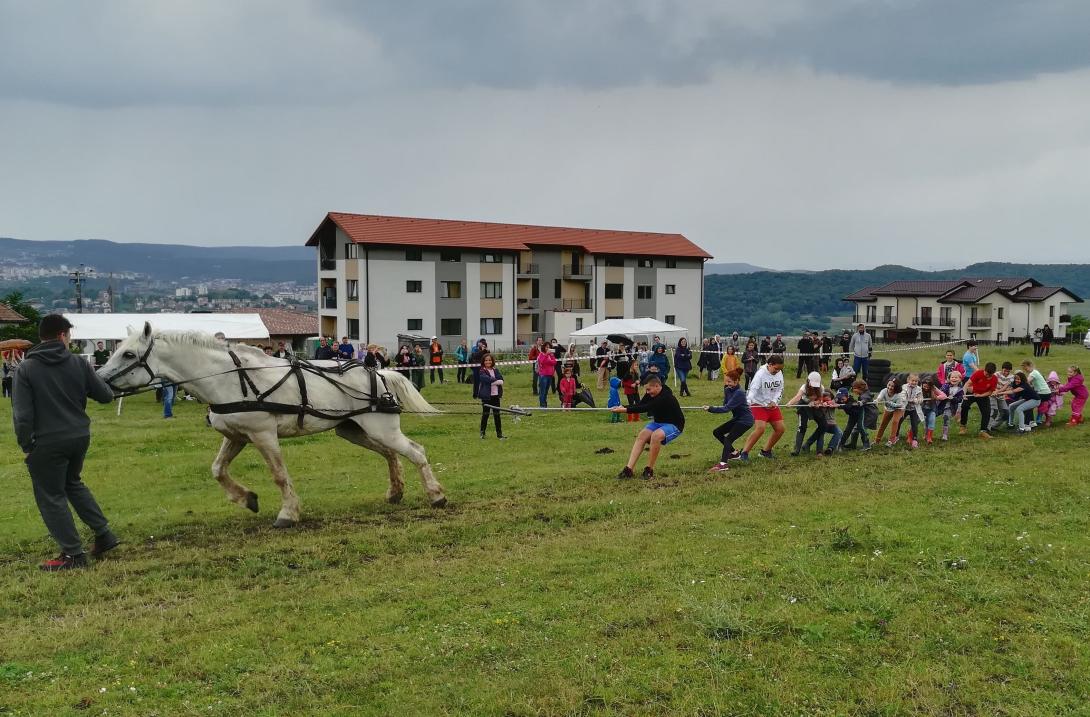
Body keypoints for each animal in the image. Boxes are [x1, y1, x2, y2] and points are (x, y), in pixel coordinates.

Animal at [97, 324, 446, 525]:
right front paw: (247, 499)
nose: (99, 381)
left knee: (415, 451)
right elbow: (217, 469)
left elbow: (279, 475)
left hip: (380, 428)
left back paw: (436, 496)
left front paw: (287, 514)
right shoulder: (236, 436)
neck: (229, 379)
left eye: (128, 353)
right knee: (390, 454)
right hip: (354, 430)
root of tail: (379, 372)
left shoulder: (263, 435)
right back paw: (395, 493)